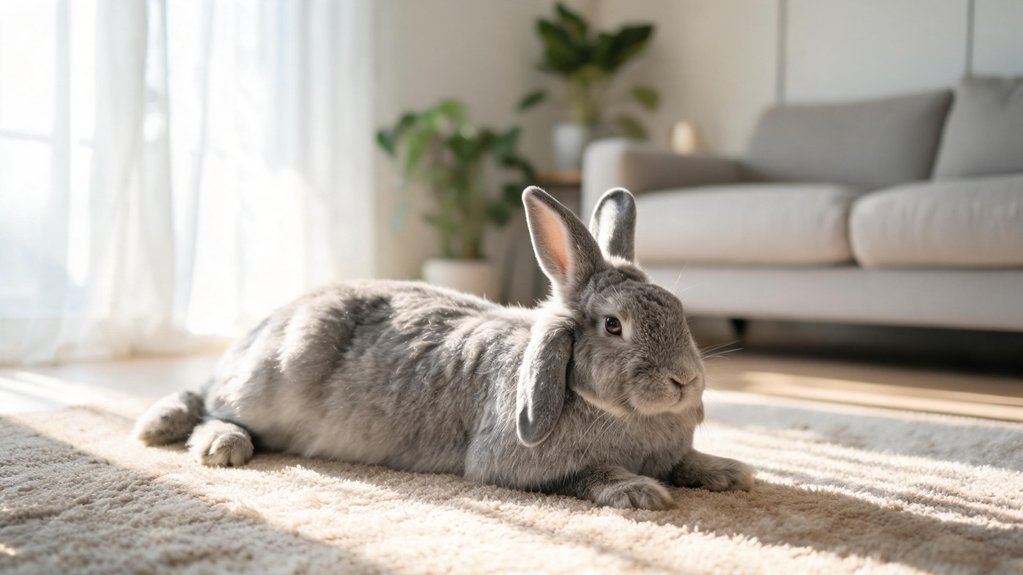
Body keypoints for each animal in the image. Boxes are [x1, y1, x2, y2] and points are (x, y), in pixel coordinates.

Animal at [132, 187, 753, 509]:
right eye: (613, 326)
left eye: (676, 308)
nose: (684, 381)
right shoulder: (516, 468)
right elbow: (587, 474)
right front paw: (641, 491)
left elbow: (687, 461)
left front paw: (729, 473)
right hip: (269, 381)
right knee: (211, 406)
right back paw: (212, 443)